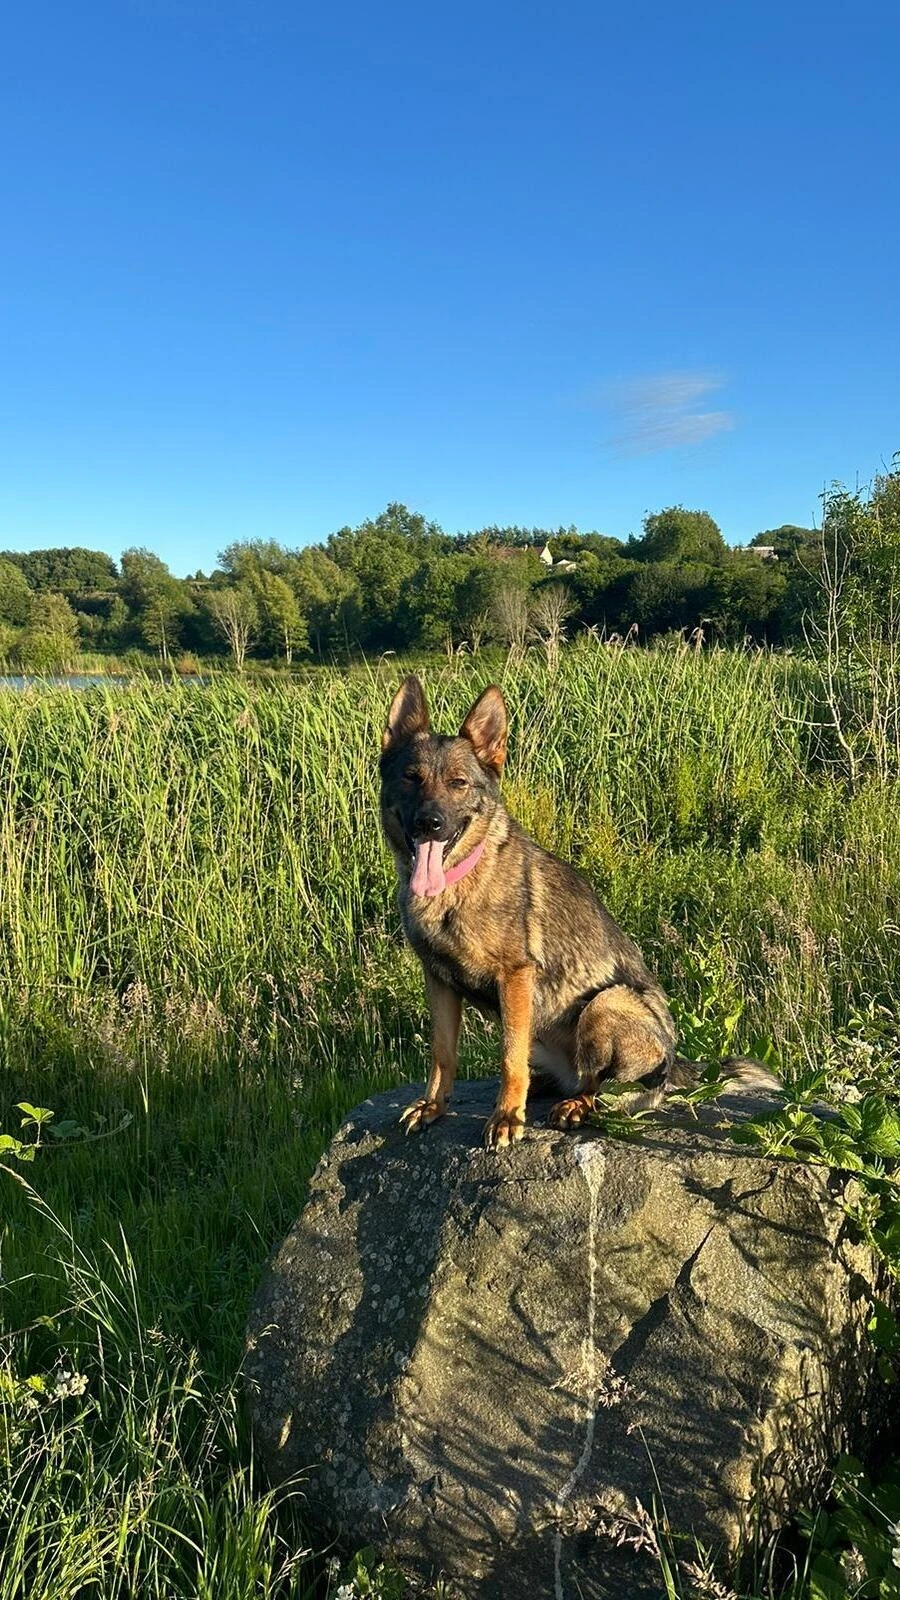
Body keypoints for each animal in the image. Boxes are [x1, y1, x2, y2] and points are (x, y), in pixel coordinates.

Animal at [377, 675, 771, 1152]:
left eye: (458, 783)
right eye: (411, 778)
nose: (429, 823)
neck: (455, 886)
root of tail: (673, 1067)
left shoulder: (515, 976)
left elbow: (508, 1058)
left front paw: (506, 1117)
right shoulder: (438, 981)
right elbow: (442, 1054)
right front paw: (434, 1106)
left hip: (605, 1004)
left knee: (599, 1085)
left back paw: (575, 1104)